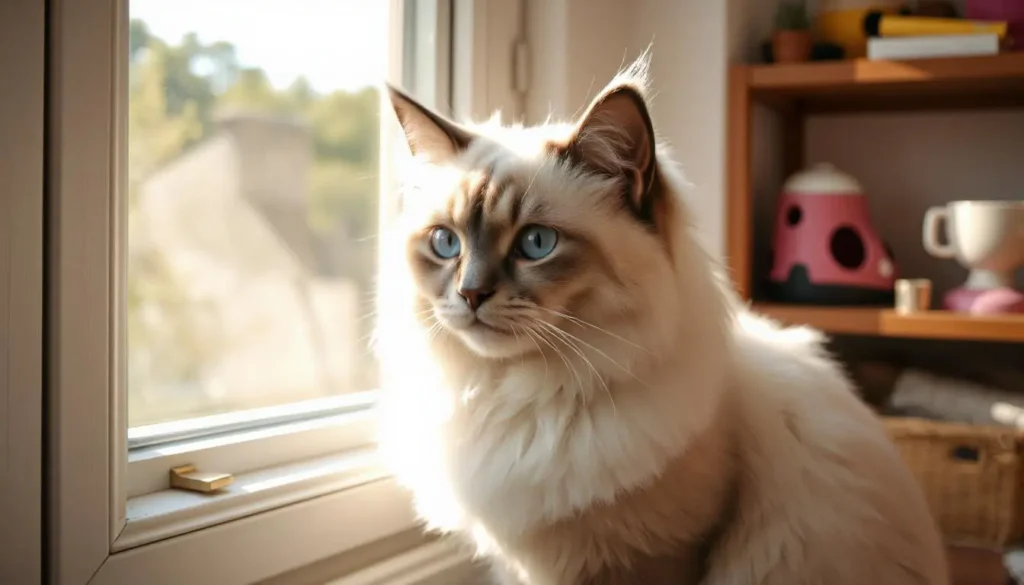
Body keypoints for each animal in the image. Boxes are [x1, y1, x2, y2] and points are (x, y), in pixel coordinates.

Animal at [372, 54, 946, 585]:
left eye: (536, 243)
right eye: (446, 243)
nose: (470, 294)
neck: (525, 399)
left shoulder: (660, 557)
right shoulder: (522, 568)